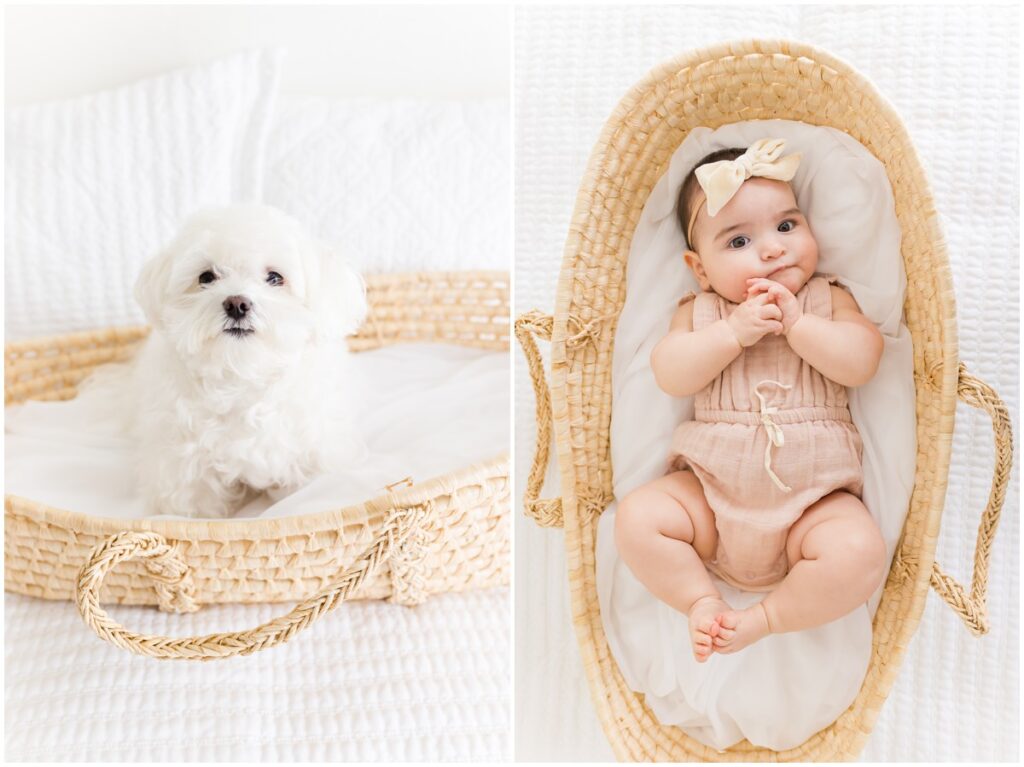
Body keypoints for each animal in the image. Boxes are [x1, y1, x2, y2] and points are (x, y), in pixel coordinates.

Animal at [123, 201, 366, 514]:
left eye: (275, 278)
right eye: (206, 277)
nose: (237, 304)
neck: (242, 374)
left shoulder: (313, 454)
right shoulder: (184, 474)